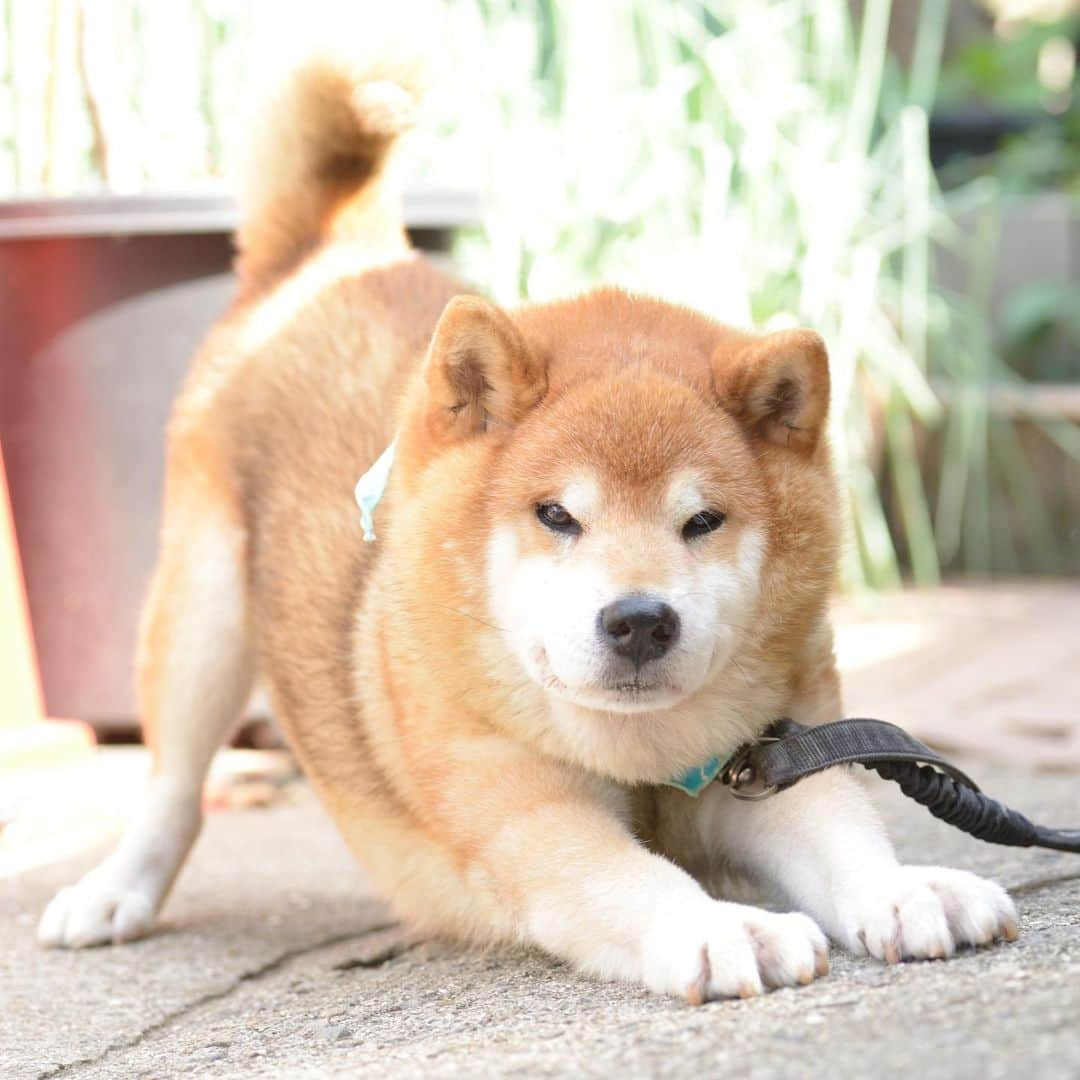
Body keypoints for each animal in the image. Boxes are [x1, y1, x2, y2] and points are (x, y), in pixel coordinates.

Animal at [38, 56, 1015, 1002]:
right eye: (557, 515)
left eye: (702, 520)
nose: (640, 621)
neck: (641, 756)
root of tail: (326, 256)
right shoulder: (522, 807)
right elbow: (632, 878)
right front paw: (721, 928)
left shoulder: (770, 759)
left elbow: (844, 829)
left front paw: (910, 888)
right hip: (200, 620)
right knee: (171, 786)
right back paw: (112, 894)